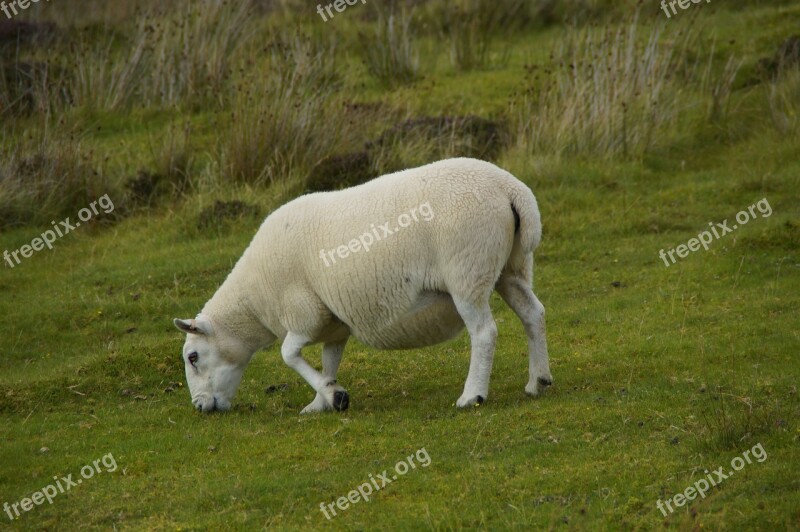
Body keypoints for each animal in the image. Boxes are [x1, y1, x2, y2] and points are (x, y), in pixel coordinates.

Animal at [173, 156, 552, 414]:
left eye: (193, 357)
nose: (199, 406)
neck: (253, 301)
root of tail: (511, 189)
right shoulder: (332, 321)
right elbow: (329, 359)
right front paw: (321, 399)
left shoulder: (303, 312)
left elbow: (288, 354)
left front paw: (335, 396)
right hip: (510, 267)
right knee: (533, 314)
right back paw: (538, 381)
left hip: (467, 271)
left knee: (484, 332)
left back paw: (472, 395)